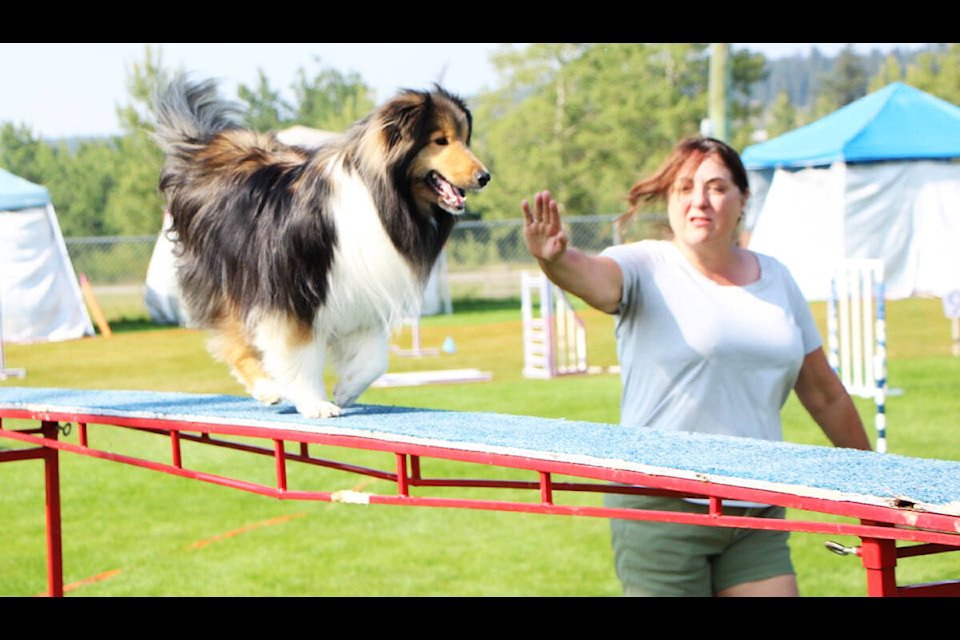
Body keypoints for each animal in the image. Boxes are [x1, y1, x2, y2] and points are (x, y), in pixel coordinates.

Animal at [157, 75, 492, 418]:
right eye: (441, 141)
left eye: (465, 139)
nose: (485, 177)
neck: (380, 198)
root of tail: (205, 148)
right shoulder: (295, 295)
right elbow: (301, 356)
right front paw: (315, 402)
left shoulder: (363, 293)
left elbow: (375, 360)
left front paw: (346, 390)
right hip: (229, 276)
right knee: (232, 336)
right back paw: (266, 388)